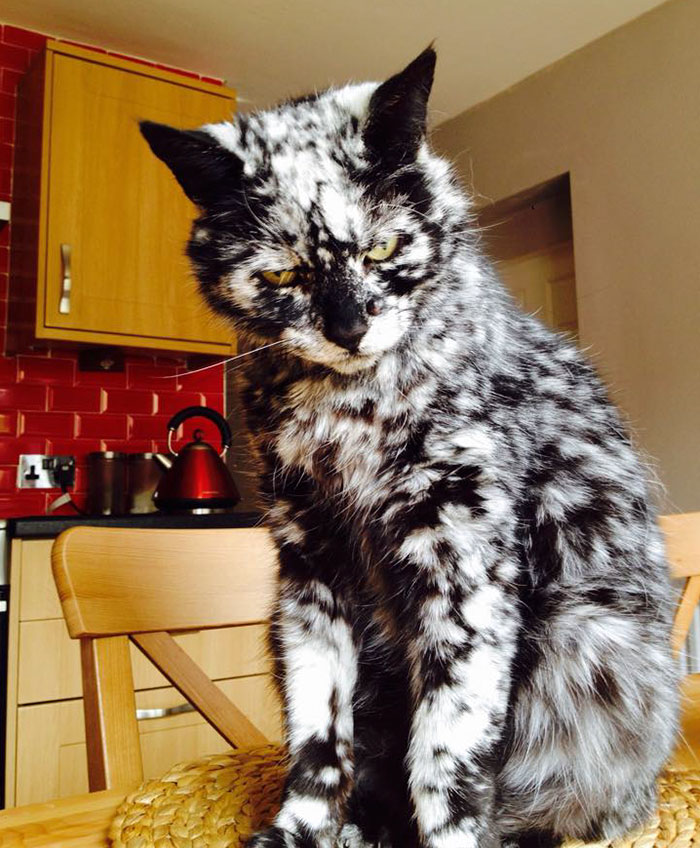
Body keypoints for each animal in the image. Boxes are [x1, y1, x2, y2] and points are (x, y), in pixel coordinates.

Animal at [141, 48, 680, 848]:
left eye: (384, 247)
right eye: (282, 274)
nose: (348, 327)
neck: (347, 417)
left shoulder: (464, 569)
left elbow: (445, 752)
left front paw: (448, 833)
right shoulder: (310, 571)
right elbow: (319, 735)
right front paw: (303, 828)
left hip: (586, 643)